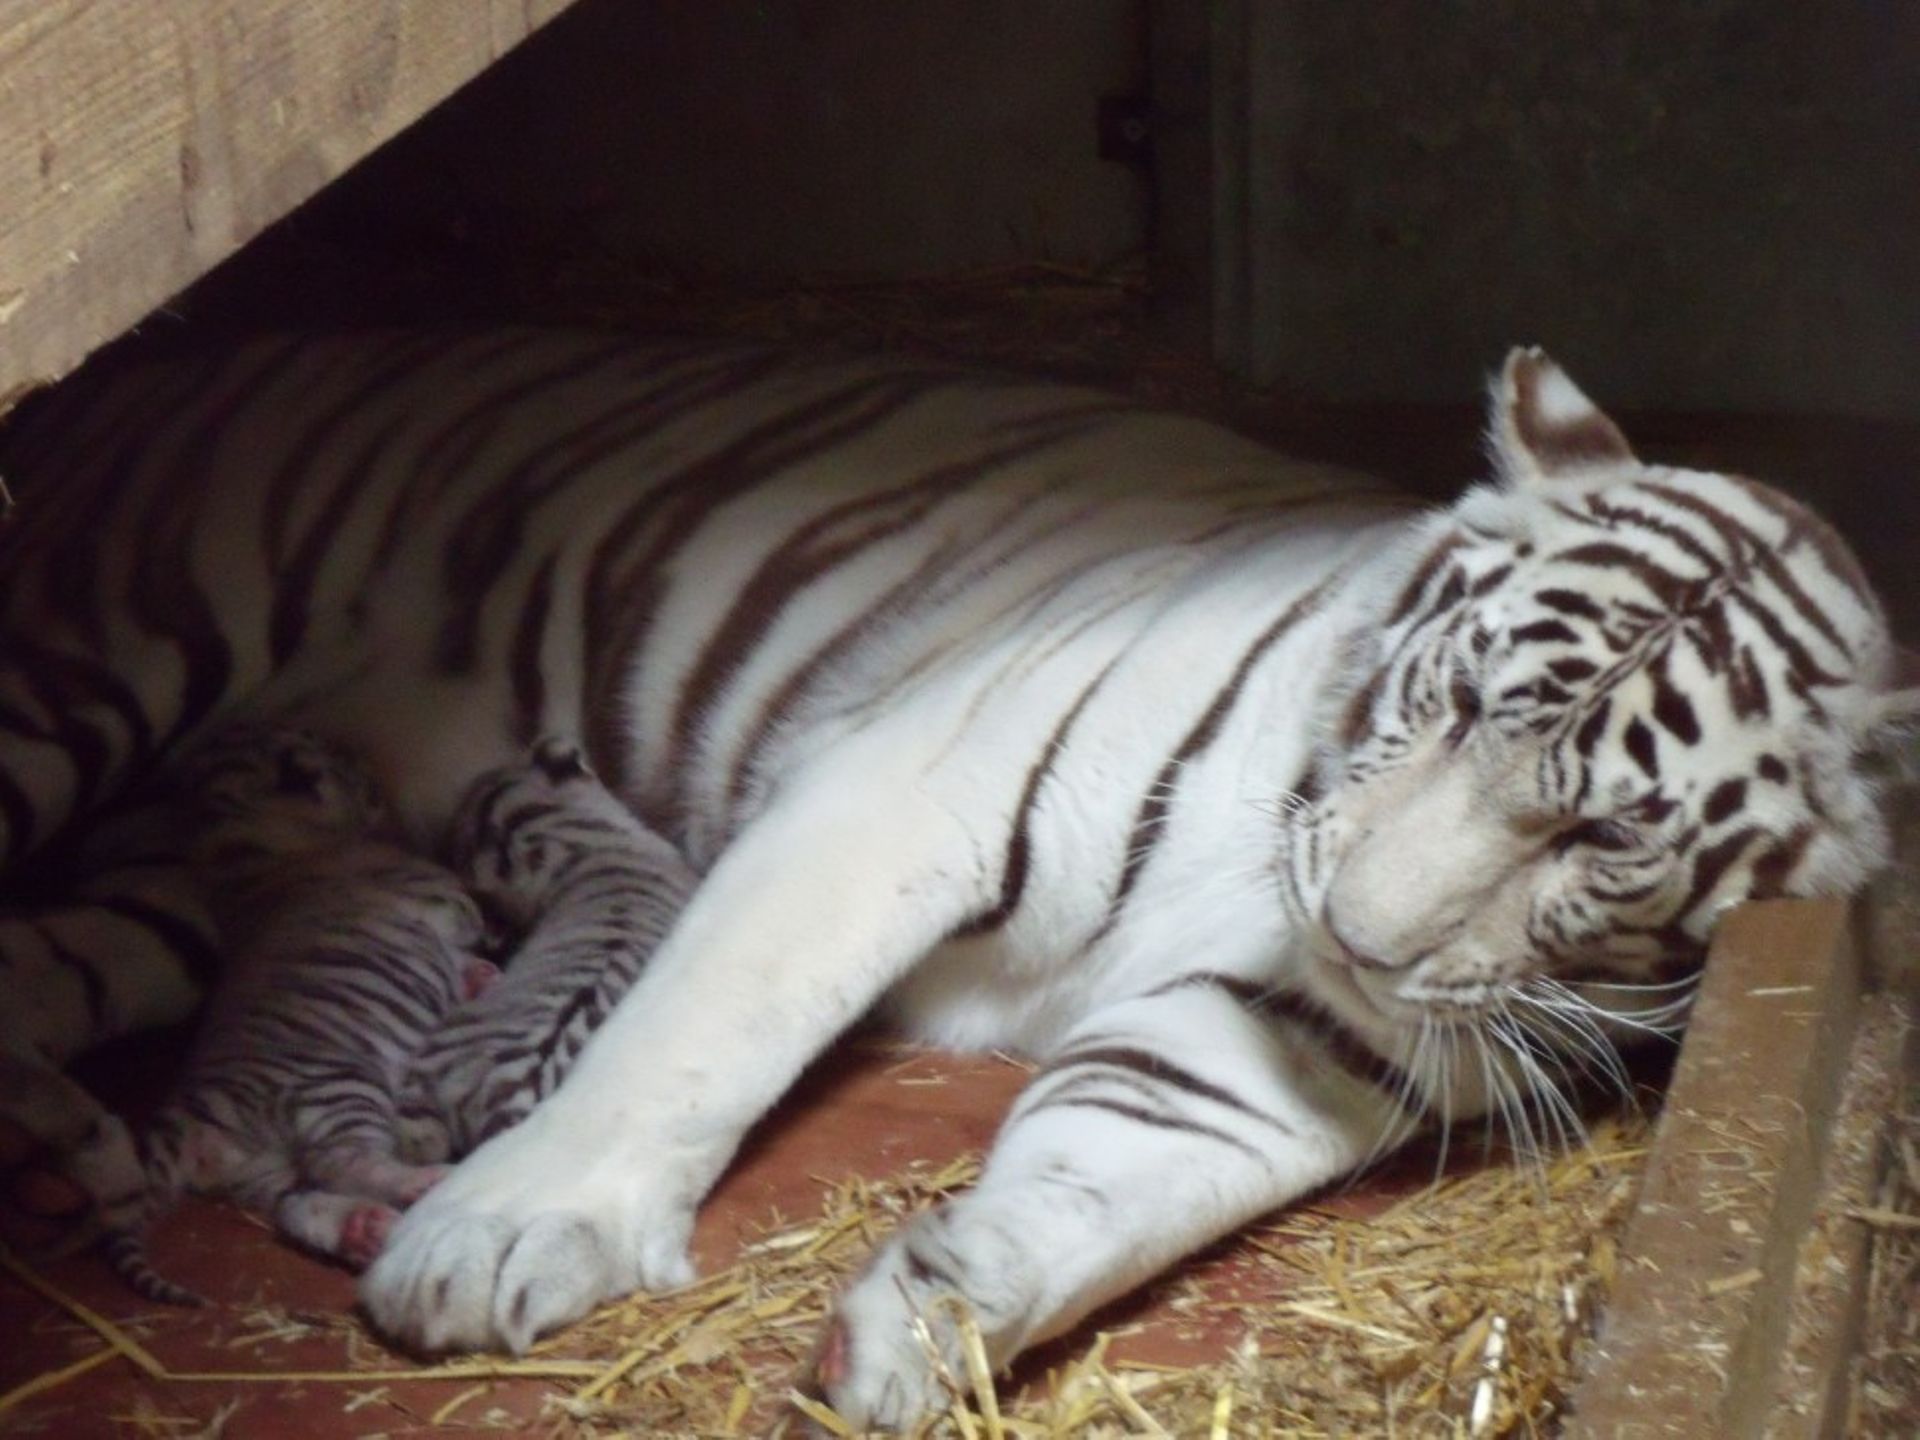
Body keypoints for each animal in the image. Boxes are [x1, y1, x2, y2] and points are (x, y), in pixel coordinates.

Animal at [62, 724, 497, 1303]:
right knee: (347, 1163)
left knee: (299, 1205)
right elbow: (464, 919)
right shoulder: (439, 895)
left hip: (263, 1171)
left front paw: (478, 977)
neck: (241, 842)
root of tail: (187, 1117)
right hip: (337, 1088)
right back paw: (422, 1182)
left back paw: (361, 1229)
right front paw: (481, 968)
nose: (365, 759)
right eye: (342, 760)